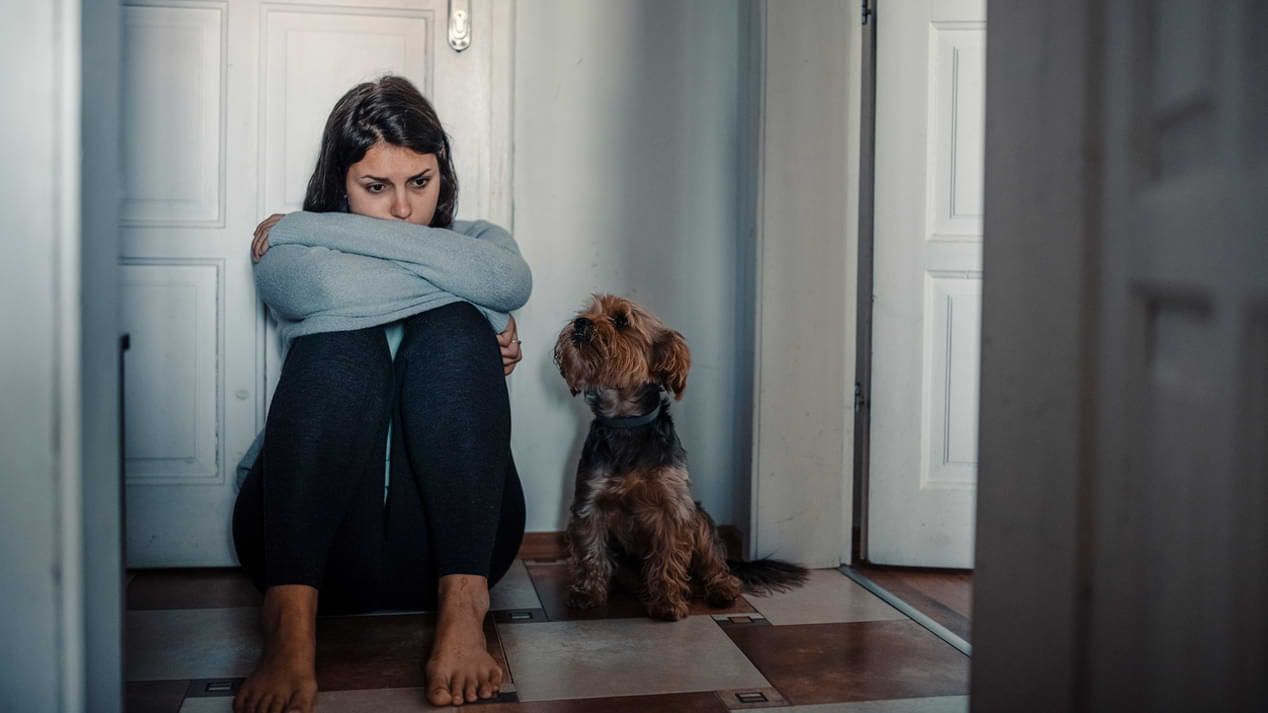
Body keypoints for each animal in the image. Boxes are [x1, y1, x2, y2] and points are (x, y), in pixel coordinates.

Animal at [552, 293, 806, 616]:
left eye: (621, 320)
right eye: (587, 312)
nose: (580, 323)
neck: (625, 421)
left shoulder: (672, 507)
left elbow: (668, 557)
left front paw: (667, 601)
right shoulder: (590, 503)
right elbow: (590, 552)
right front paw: (586, 595)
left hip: (700, 519)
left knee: (717, 566)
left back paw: (721, 589)